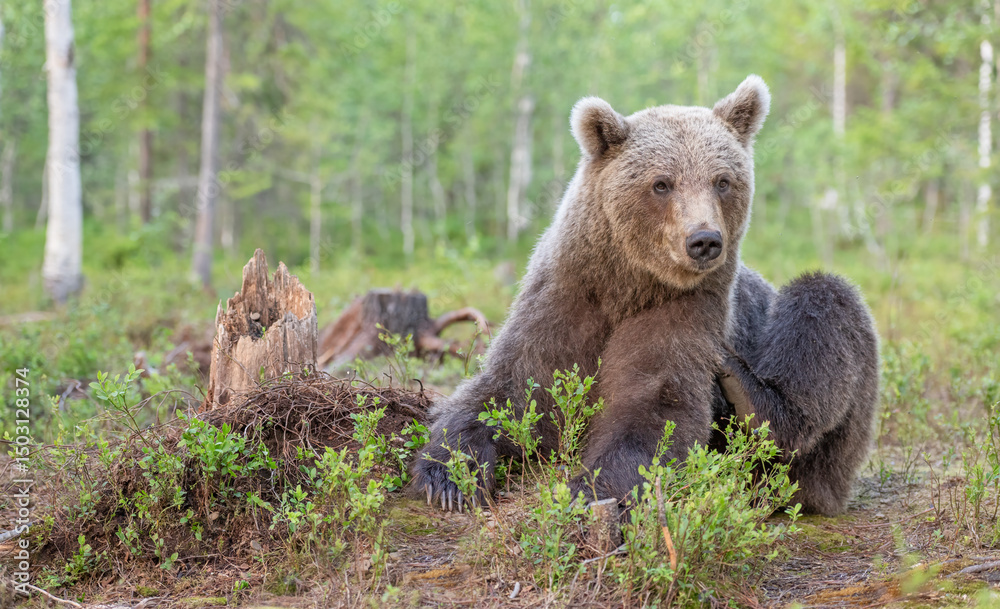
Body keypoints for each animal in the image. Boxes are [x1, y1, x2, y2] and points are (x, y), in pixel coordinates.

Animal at [410, 75, 879, 516]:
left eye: (722, 181)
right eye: (662, 183)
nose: (704, 240)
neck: (627, 285)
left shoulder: (684, 310)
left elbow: (654, 410)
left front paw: (590, 492)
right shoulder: (563, 298)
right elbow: (511, 390)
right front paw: (448, 477)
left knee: (824, 305)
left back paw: (749, 391)